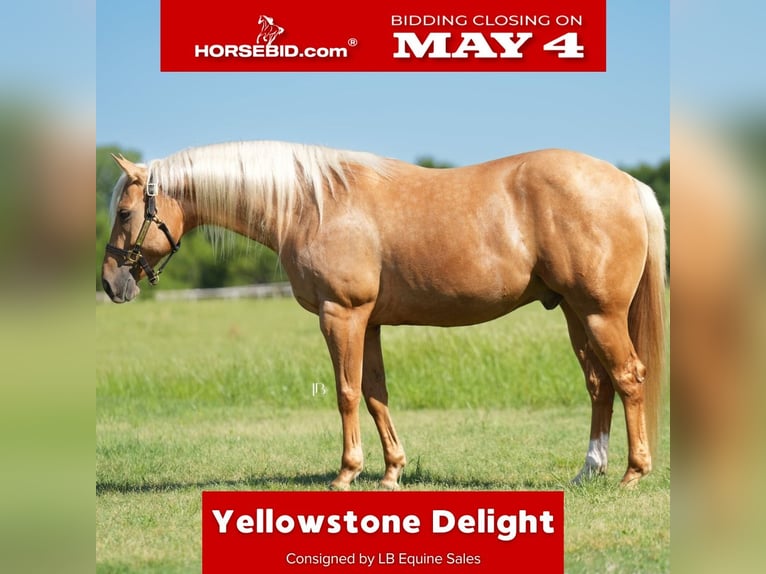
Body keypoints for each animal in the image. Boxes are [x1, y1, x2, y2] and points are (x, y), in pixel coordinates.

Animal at [101, 141, 666, 490]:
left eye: (125, 212)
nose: (110, 283)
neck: (312, 205)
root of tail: (628, 184)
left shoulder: (341, 315)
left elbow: (347, 394)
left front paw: (346, 474)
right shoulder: (367, 322)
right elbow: (376, 395)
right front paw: (392, 471)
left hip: (600, 313)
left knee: (629, 378)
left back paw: (633, 473)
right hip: (575, 312)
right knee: (599, 385)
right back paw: (589, 472)